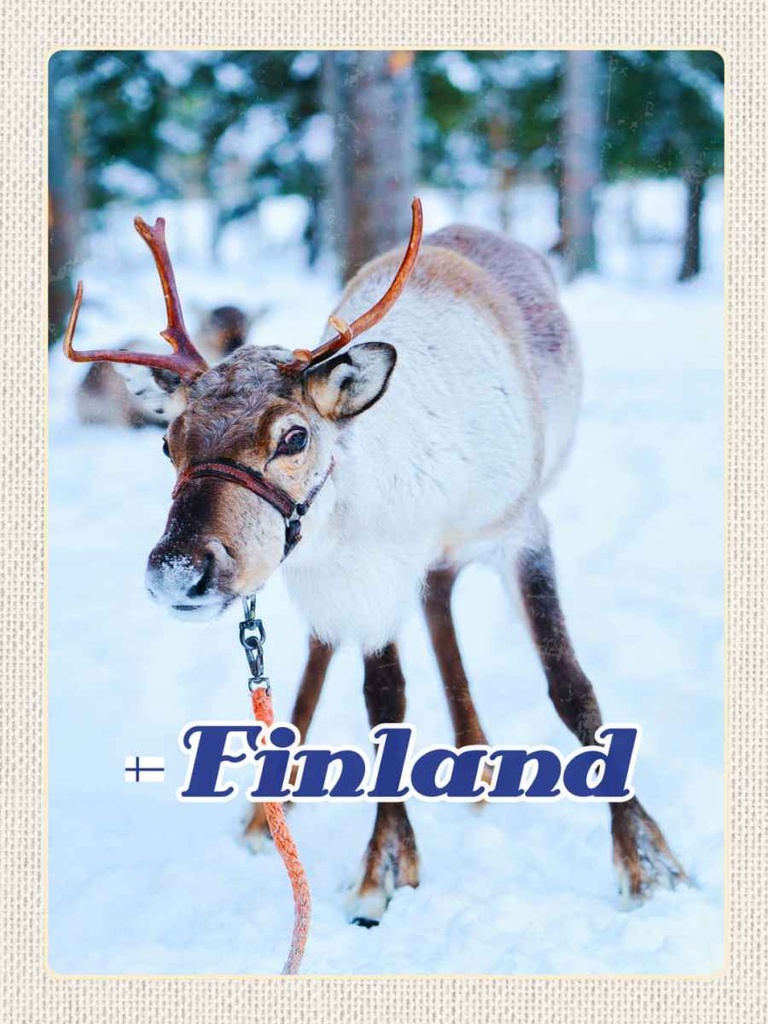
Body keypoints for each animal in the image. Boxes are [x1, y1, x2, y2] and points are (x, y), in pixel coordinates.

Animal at [63, 201, 688, 928]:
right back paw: (272, 810)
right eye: (169, 442)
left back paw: (476, 762)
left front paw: (648, 861)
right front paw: (385, 868)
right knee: (337, 645)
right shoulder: (361, 579)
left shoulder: (521, 530)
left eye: (294, 436)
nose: (177, 569)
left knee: (438, 596)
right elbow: (383, 701)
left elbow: (572, 688)